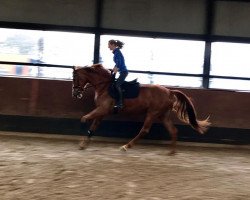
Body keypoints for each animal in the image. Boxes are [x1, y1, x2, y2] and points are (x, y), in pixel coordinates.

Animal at [72, 64, 211, 155]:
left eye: (75, 78)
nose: (75, 94)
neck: (104, 86)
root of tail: (170, 92)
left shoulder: (103, 109)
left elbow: (85, 118)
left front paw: (82, 129)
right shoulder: (101, 112)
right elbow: (93, 127)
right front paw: (83, 144)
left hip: (152, 113)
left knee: (144, 130)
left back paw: (126, 146)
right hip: (163, 115)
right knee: (173, 130)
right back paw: (172, 152)